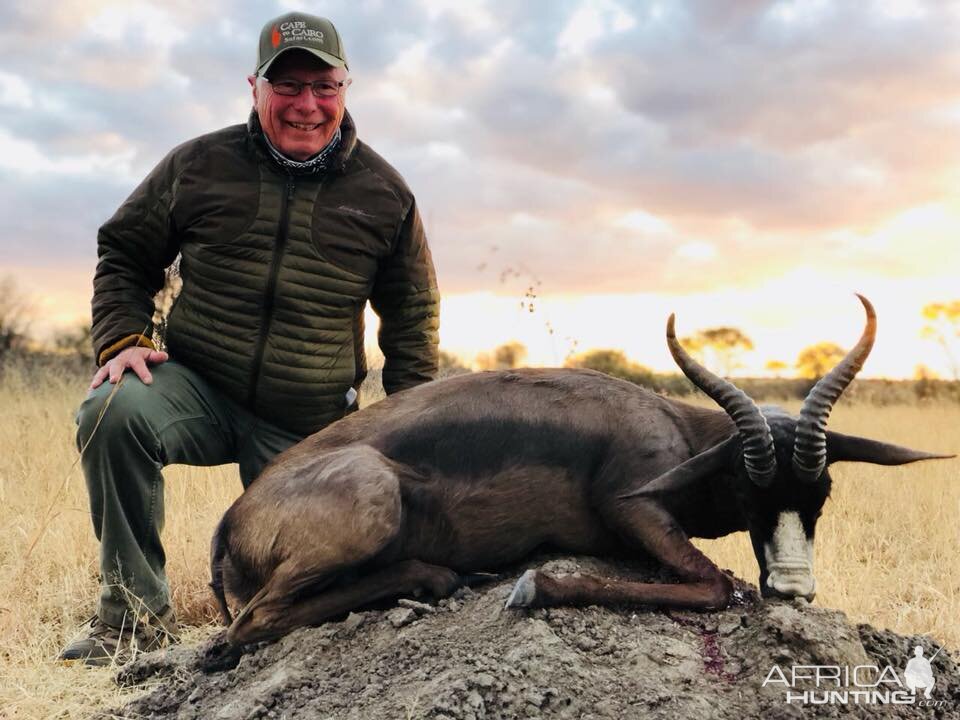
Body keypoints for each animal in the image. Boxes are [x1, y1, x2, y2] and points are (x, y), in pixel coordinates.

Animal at [206, 296, 948, 656]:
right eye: (747, 486)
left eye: (821, 490)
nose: (794, 589)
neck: (670, 424)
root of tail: (231, 523)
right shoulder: (634, 509)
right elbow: (713, 586)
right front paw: (534, 586)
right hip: (368, 508)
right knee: (249, 626)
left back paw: (443, 577)